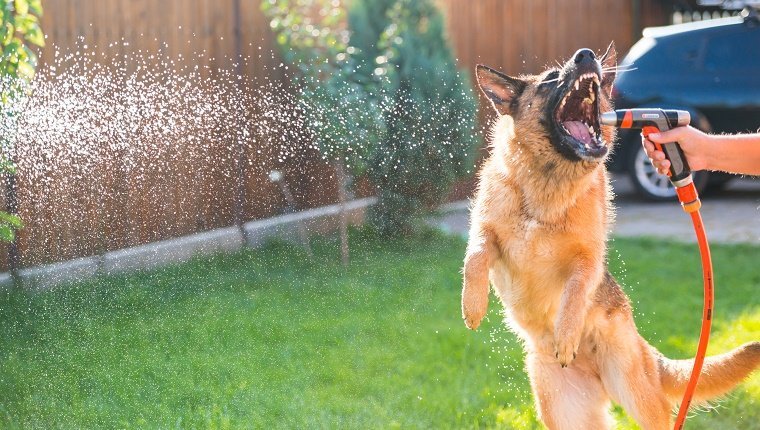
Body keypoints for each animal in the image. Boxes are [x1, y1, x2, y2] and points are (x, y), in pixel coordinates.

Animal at [460, 44, 760, 430]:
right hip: (565, 414)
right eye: (551, 78)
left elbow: (575, 291)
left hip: (640, 398)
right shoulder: (486, 233)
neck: (547, 185)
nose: (587, 55)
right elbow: (474, 257)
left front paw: (566, 334)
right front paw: (472, 306)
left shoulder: (587, 258)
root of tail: (645, 351)